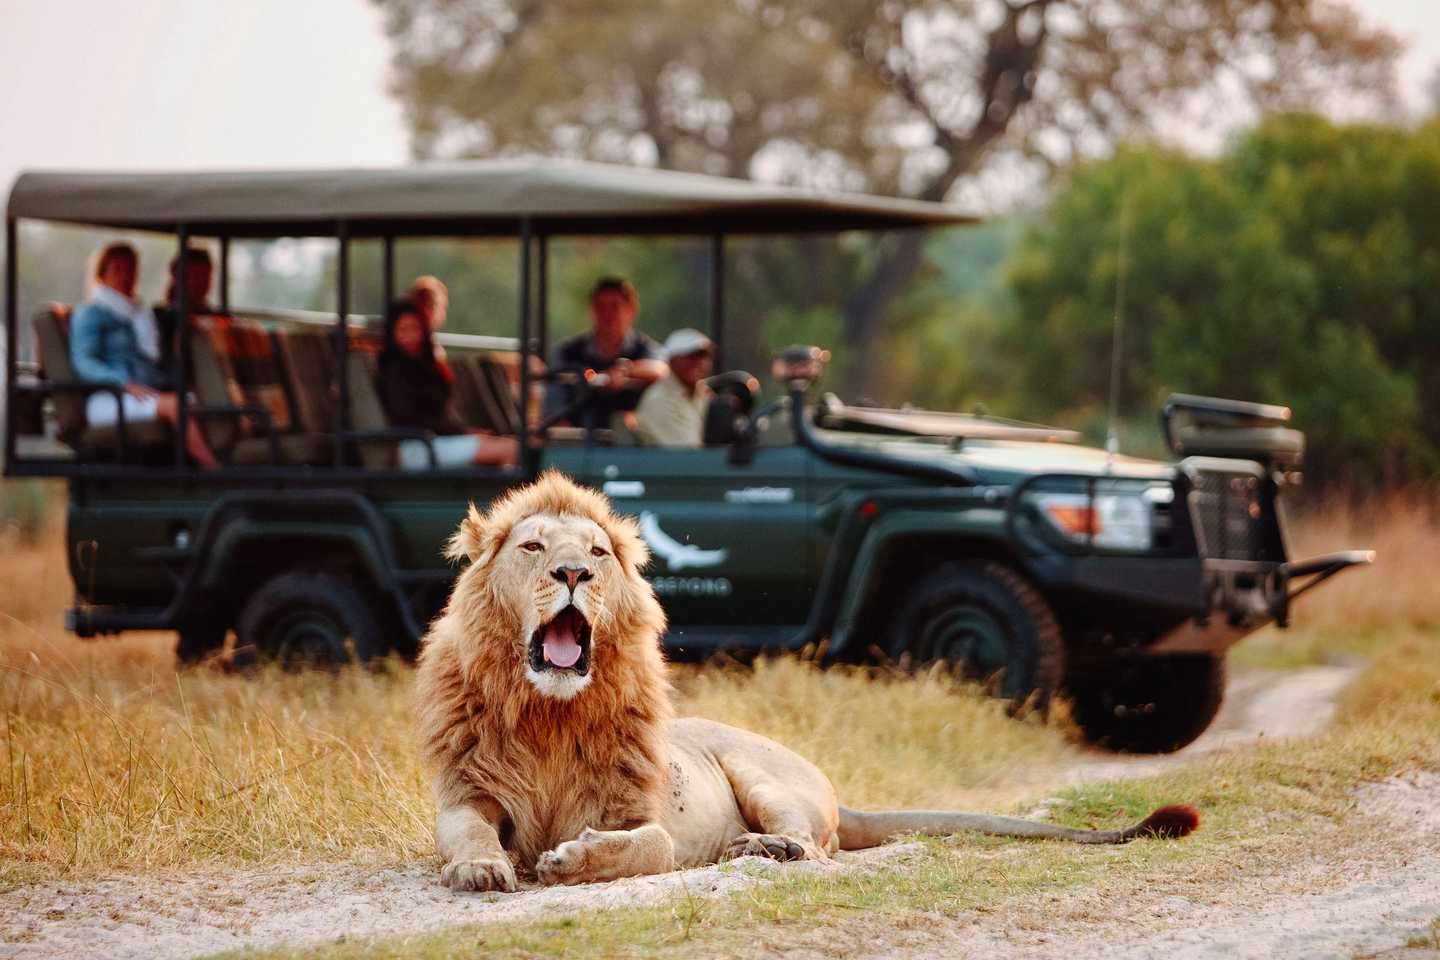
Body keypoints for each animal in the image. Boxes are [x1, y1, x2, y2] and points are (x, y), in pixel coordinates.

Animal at [415, 471, 1199, 892]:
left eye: (599, 553)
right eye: (533, 546)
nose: (573, 572)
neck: (550, 715)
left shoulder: (640, 819)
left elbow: (643, 847)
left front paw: (571, 858)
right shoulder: (467, 796)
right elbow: (469, 835)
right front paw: (483, 869)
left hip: (763, 776)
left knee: (817, 847)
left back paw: (765, 850)